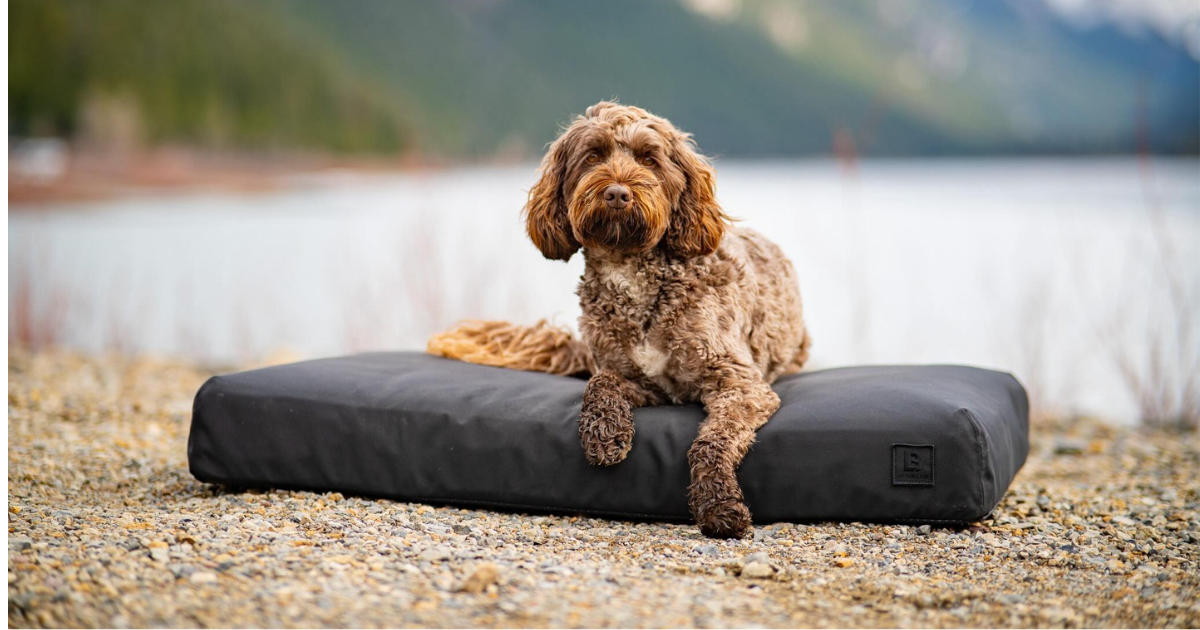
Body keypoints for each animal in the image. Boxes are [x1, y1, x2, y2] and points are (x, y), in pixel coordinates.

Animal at [427, 100, 811, 537]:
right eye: (593, 156)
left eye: (649, 159)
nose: (616, 193)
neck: (632, 275)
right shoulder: (641, 381)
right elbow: (600, 383)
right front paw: (604, 433)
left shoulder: (741, 384)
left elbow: (712, 440)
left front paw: (717, 504)